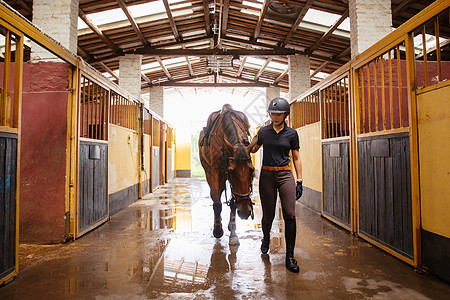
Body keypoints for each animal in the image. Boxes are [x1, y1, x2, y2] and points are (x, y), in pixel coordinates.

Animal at [200, 104, 255, 245]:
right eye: (231, 171)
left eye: (252, 171)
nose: (245, 212)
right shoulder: (216, 172)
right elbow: (217, 203)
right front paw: (218, 230)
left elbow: (234, 202)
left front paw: (233, 232)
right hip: (209, 171)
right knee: (215, 195)